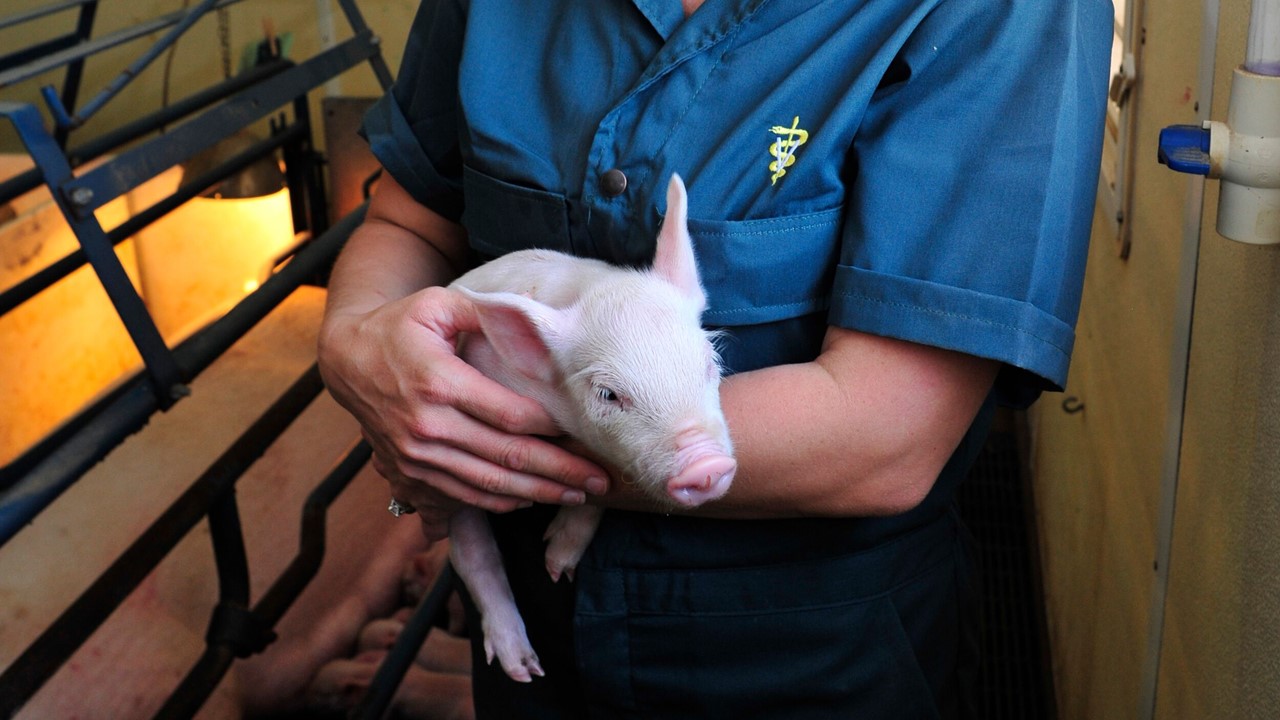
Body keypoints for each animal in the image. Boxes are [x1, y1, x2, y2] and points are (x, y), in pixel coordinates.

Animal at [446, 174, 737, 682]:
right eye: (608, 395)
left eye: (709, 362)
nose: (706, 464)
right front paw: (552, 571)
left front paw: (556, 565)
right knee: (470, 549)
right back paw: (525, 669)